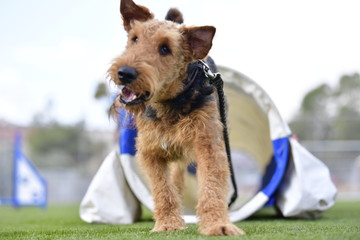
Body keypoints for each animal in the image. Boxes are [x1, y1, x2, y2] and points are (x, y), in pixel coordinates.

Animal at [107, 0, 245, 236]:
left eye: (165, 48)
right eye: (135, 38)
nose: (125, 73)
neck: (169, 103)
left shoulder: (208, 146)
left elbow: (211, 187)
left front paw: (218, 225)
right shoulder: (151, 151)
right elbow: (163, 191)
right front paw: (167, 224)